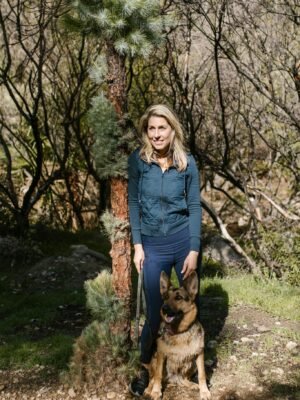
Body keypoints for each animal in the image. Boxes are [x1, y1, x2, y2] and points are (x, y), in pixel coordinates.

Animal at [144, 272, 210, 400]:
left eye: (178, 298)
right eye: (165, 297)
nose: (164, 309)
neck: (179, 332)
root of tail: (173, 379)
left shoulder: (199, 354)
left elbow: (202, 374)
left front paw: (204, 391)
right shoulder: (161, 354)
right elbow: (158, 375)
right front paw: (156, 391)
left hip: (191, 364)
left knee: (183, 378)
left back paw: (190, 384)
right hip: (154, 359)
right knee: (153, 377)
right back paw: (149, 389)